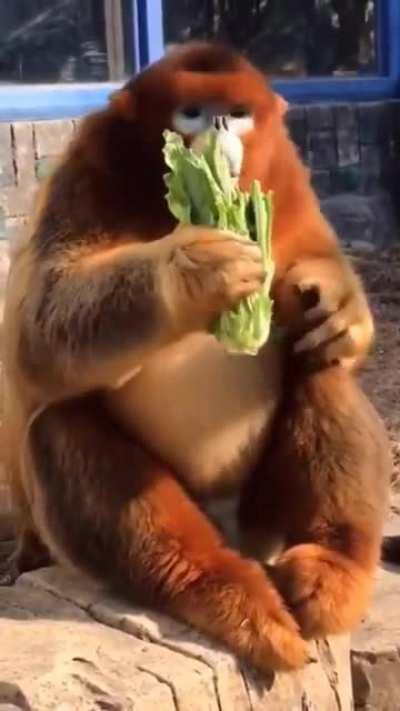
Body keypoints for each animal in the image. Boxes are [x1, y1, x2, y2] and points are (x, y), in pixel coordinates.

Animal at [0, 42, 391, 675]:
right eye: (192, 111)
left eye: (237, 112)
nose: (218, 130)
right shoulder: (85, 169)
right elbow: (35, 332)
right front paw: (196, 269)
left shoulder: (285, 171)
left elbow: (315, 263)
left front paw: (338, 304)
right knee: (59, 422)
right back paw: (225, 593)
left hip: (261, 513)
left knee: (321, 368)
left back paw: (330, 571)